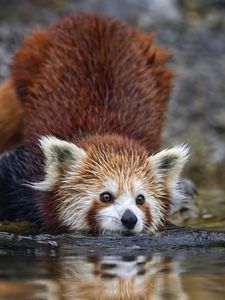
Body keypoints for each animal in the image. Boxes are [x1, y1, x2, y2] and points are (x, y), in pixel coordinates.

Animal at [0, 12, 188, 234]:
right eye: (106, 196)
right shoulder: (27, 167)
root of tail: (96, 17)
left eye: (140, 199)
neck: (105, 129)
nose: (129, 218)